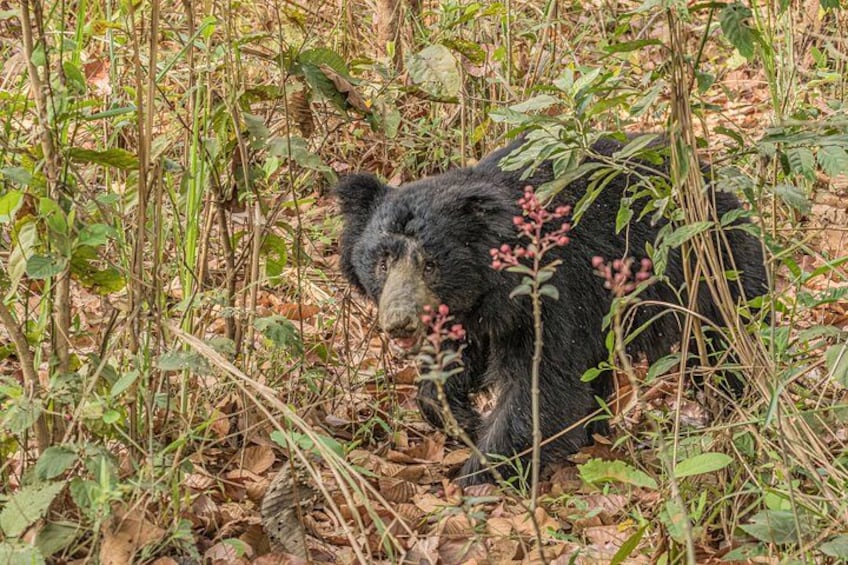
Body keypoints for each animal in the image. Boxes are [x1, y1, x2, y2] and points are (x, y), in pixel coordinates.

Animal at [335, 136, 767, 486]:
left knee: (728, 347)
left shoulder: (554, 294)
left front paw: (477, 477)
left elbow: (542, 386)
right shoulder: (475, 315)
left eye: (430, 264)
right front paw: (461, 418)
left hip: (713, 273)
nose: (399, 323)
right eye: (382, 262)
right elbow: (453, 366)